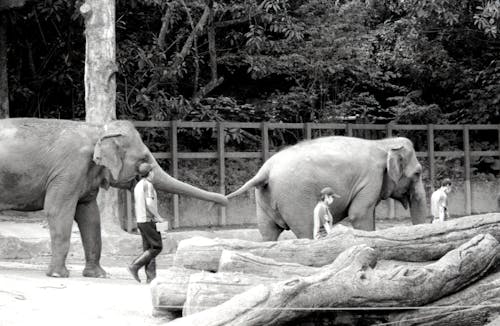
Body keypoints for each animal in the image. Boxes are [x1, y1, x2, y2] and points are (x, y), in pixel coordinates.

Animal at [0, 119, 227, 278]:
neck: (100, 129)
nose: (226, 200)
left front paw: (98, 275)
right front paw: (58, 275)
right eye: (144, 158)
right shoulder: (69, 170)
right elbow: (58, 210)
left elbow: (90, 216)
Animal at [229, 136, 428, 241]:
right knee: (306, 231)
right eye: (418, 173)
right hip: (295, 200)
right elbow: (359, 214)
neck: (384, 143)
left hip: (263, 200)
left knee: (267, 233)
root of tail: (265, 170)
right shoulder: (371, 178)